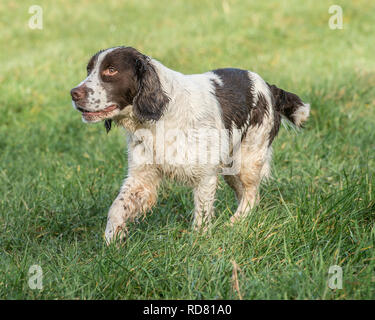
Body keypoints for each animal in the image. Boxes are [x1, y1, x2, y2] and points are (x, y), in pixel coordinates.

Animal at [70, 46, 312, 244]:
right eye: (88, 70)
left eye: (111, 70)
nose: (73, 93)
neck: (159, 117)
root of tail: (269, 87)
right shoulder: (142, 177)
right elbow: (117, 208)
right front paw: (112, 241)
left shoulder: (205, 175)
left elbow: (202, 214)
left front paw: (198, 241)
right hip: (231, 168)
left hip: (247, 161)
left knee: (251, 195)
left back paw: (233, 224)